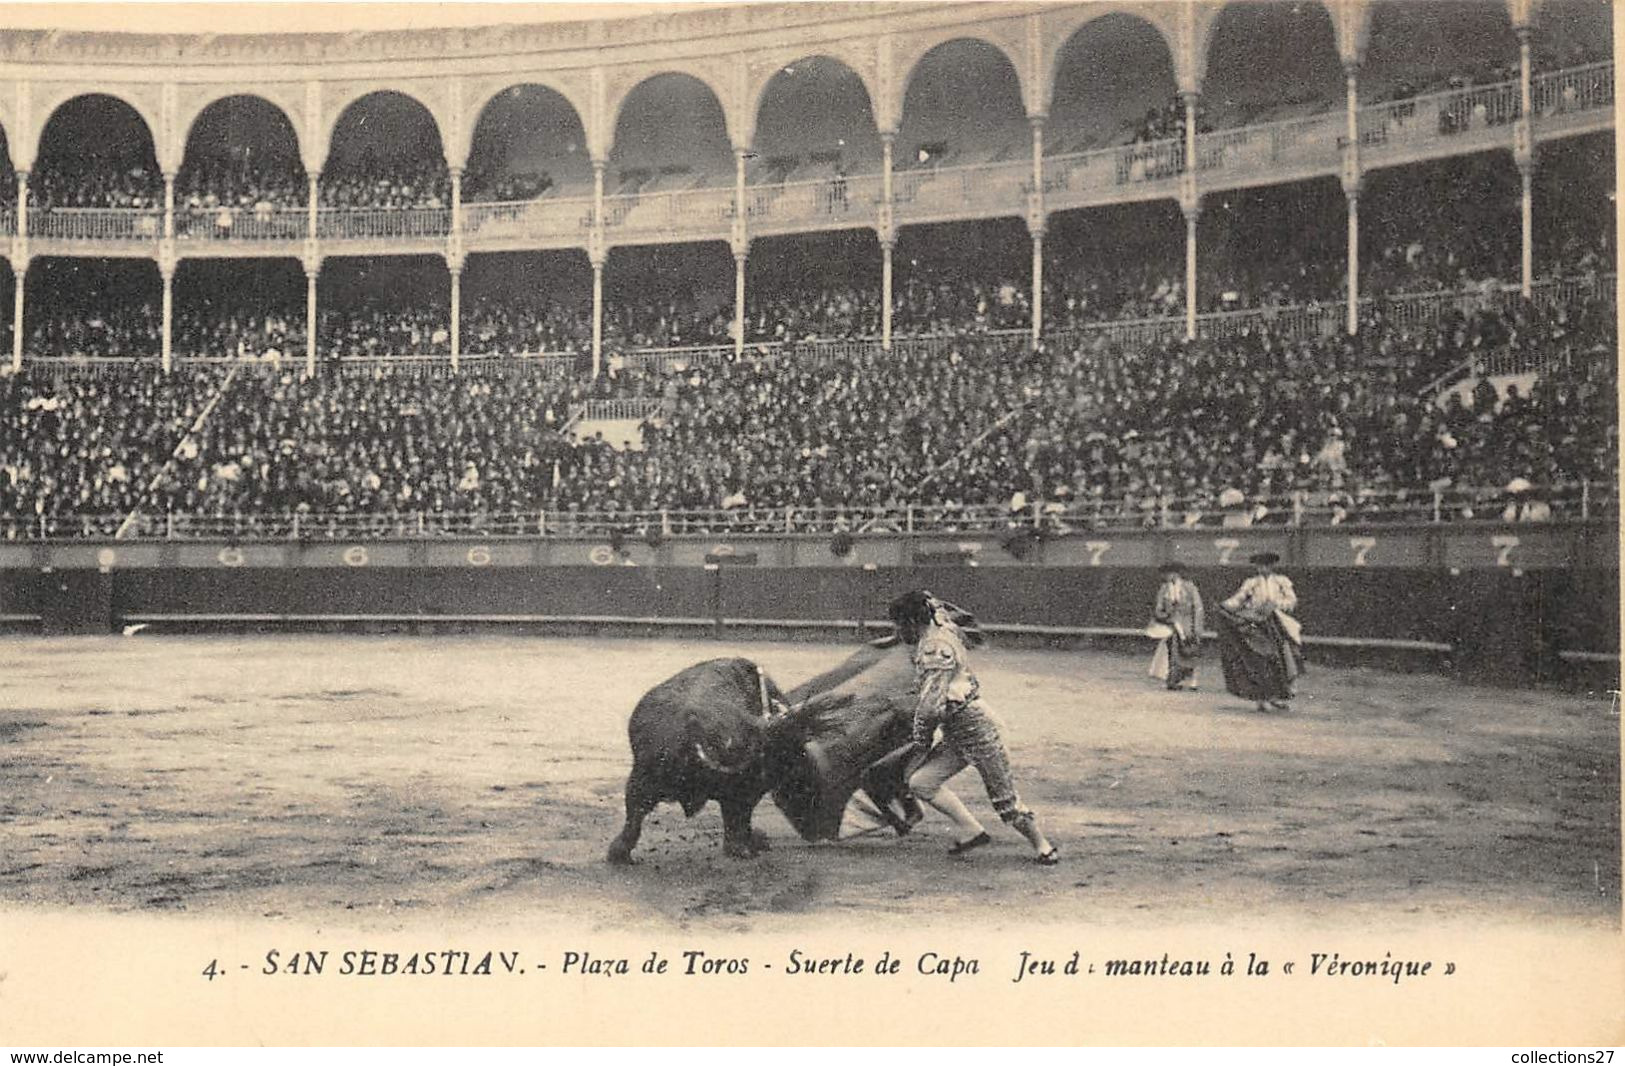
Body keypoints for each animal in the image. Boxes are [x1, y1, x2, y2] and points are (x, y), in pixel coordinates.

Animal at [607, 637, 923, 864]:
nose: (818, 831)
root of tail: (692, 725)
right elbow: (738, 817)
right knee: (735, 823)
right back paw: (748, 848)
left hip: (642, 778)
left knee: (634, 815)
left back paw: (618, 854)